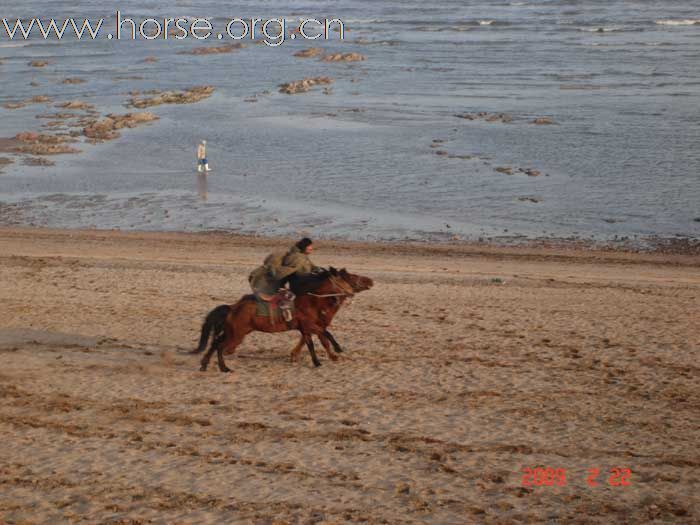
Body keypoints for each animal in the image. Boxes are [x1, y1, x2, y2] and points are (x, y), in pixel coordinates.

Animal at [194, 266, 372, 372]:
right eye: (348, 278)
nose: (370, 280)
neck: (311, 302)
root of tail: (232, 307)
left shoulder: (305, 328)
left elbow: (312, 343)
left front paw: (317, 361)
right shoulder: (309, 325)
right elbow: (324, 335)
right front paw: (337, 349)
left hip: (233, 332)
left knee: (215, 343)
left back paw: (205, 364)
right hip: (236, 335)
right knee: (220, 346)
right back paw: (224, 368)